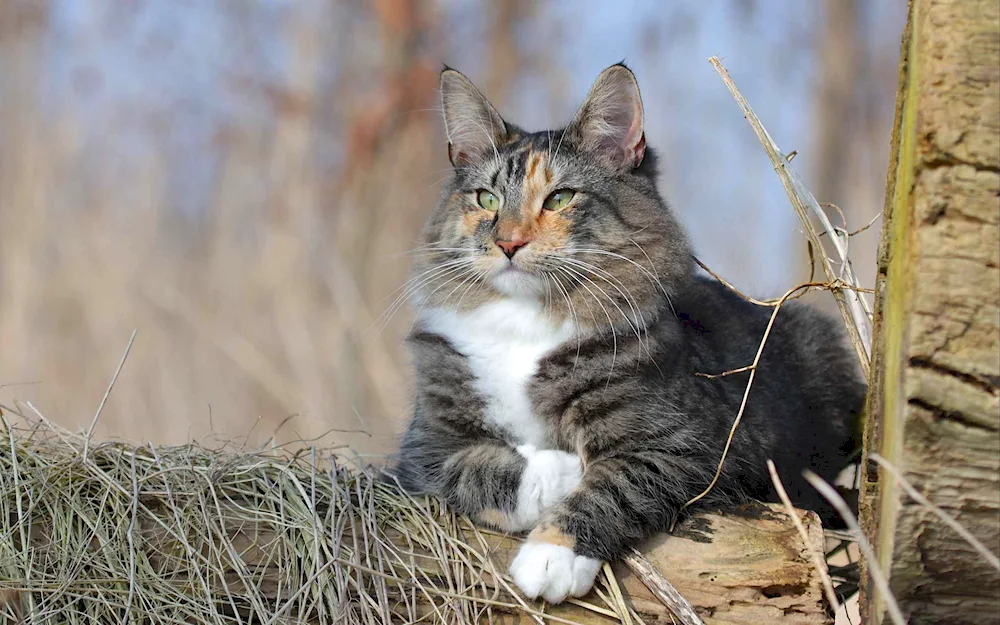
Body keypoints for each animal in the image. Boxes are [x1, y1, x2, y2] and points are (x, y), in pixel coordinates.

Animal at [390, 64, 868, 604]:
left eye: (560, 198)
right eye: (487, 199)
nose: (508, 243)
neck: (524, 321)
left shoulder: (693, 446)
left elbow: (614, 483)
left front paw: (551, 556)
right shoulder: (423, 449)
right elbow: (477, 466)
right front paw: (559, 471)